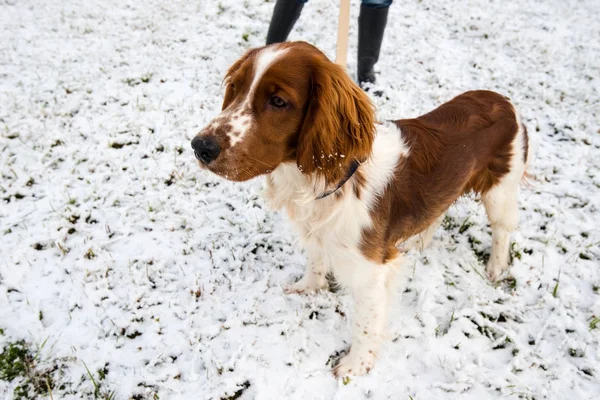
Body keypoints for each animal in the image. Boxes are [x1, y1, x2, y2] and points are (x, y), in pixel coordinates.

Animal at [192, 41, 528, 378]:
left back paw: (495, 267)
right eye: (235, 88)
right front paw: (308, 287)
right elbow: (315, 261)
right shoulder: (319, 233)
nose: (200, 146)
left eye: (278, 101)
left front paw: (355, 366)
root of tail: (504, 101)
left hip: (499, 190)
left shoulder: (371, 269)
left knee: (502, 229)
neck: (329, 178)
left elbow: (366, 322)